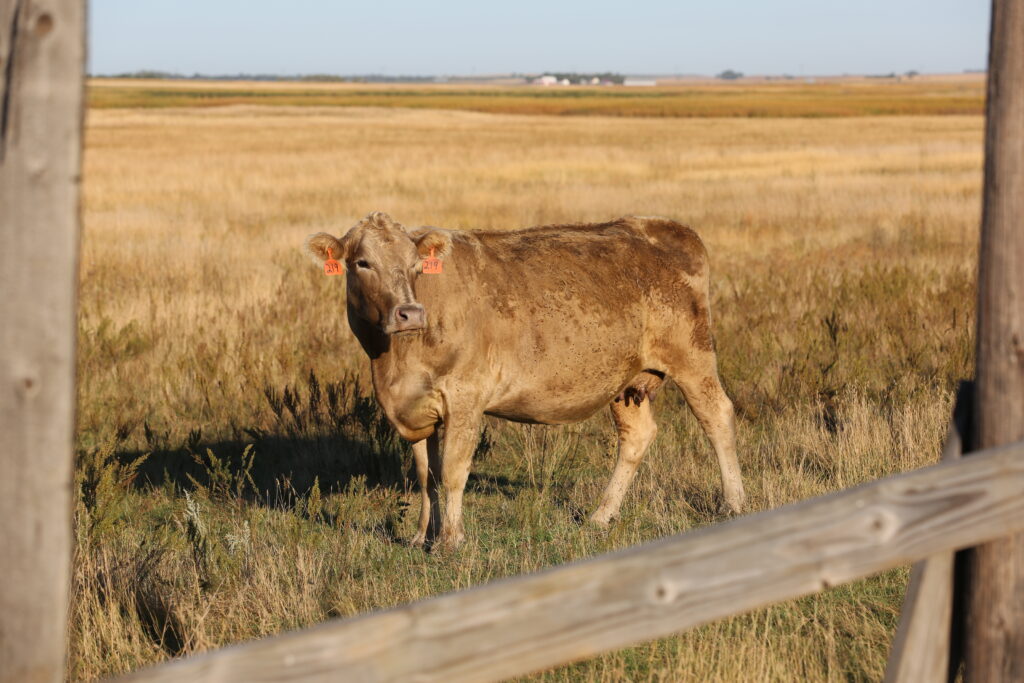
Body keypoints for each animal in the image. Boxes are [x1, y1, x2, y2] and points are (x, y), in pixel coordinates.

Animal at [304, 211, 745, 548]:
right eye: (362, 263)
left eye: (415, 265)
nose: (409, 313)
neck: (393, 363)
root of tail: (664, 225)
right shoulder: (414, 407)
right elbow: (424, 474)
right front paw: (419, 538)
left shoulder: (465, 398)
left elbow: (452, 470)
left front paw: (450, 541)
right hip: (626, 380)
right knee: (637, 436)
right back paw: (601, 516)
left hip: (692, 355)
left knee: (717, 416)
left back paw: (734, 504)